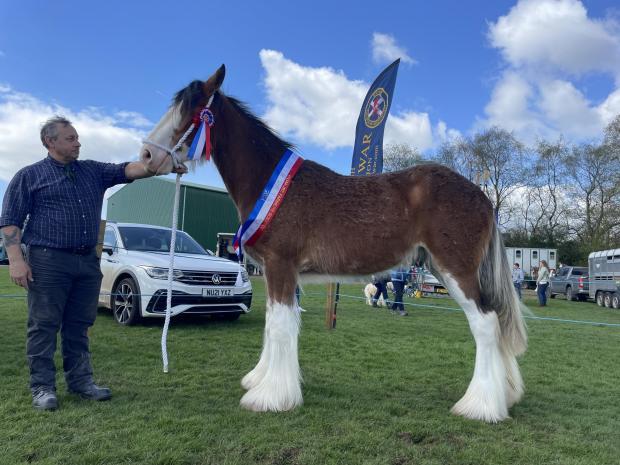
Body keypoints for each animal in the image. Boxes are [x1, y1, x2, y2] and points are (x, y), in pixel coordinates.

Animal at [140, 65, 528, 424]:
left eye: (191, 112)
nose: (145, 155)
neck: (272, 185)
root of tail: (482, 197)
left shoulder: (281, 265)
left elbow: (280, 325)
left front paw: (270, 397)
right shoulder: (275, 272)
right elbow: (272, 322)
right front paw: (259, 380)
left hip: (456, 270)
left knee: (485, 324)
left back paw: (480, 407)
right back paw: (503, 396)